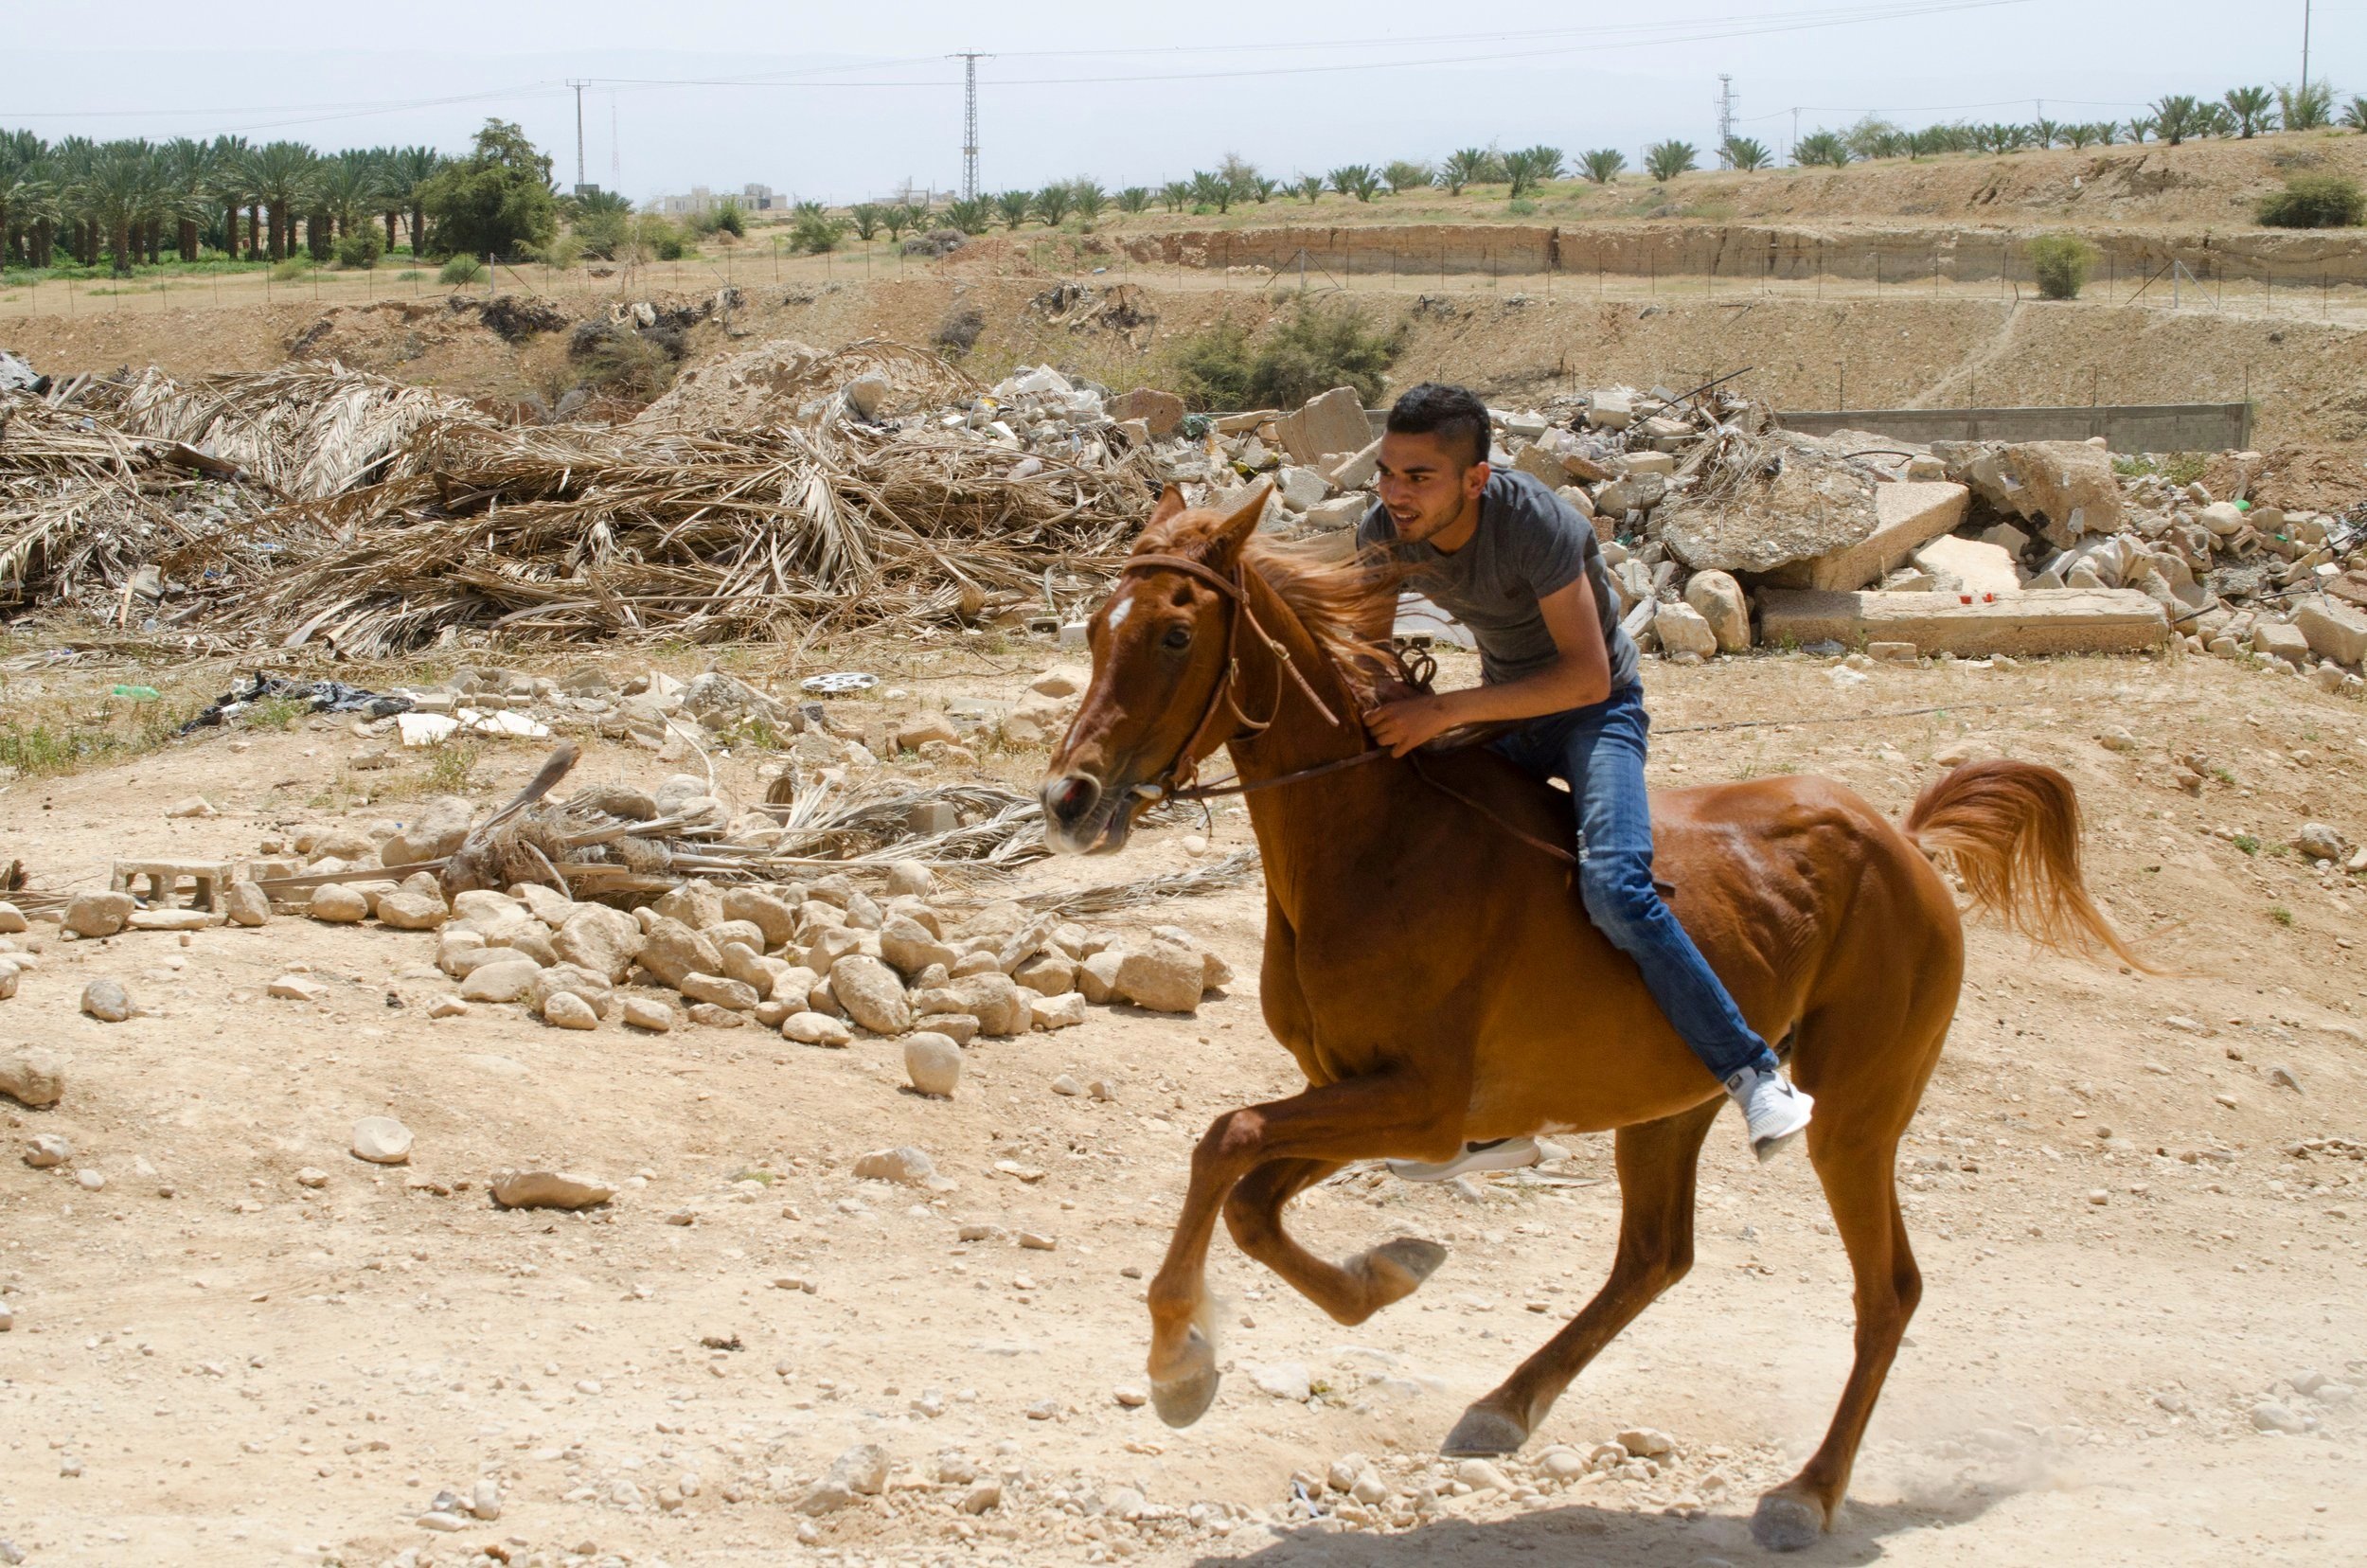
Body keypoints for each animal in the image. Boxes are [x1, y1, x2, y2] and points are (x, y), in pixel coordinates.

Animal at [1038, 484, 2142, 1551]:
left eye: (1176, 635)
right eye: (1094, 627)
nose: (1067, 800)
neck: (1376, 842)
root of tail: (1906, 843)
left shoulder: (1420, 1103)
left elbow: (1226, 1140)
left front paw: (1179, 1362)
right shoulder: (1356, 1093)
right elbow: (1252, 1200)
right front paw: (1388, 1273)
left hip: (1859, 1114)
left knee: (1888, 1290)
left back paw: (1806, 1494)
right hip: (1667, 1105)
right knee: (1656, 1256)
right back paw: (1504, 1406)